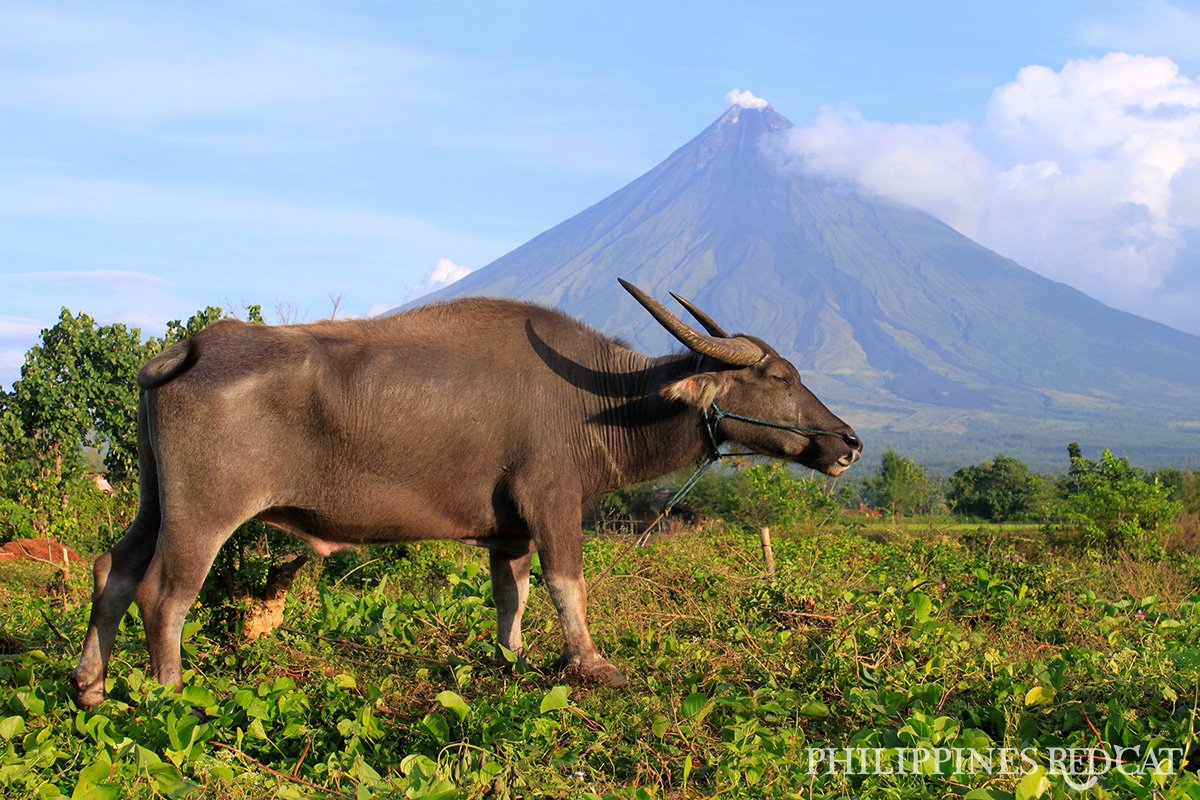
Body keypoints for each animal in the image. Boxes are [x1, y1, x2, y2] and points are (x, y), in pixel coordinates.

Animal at [70, 280, 859, 705]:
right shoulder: (553, 504)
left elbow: (512, 594)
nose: (847, 443)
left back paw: (91, 687)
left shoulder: (507, 528)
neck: (601, 401)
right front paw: (592, 665)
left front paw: (511, 660)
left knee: (114, 569)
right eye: (778, 377)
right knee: (164, 595)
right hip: (204, 513)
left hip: (154, 501)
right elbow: (567, 584)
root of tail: (189, 348)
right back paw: (171, 693)